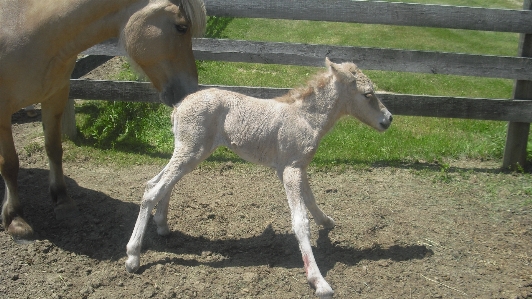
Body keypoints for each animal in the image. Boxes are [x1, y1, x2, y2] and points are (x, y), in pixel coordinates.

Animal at [0, 0, 207, 243]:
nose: (190, 91)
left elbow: (54, 149)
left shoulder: (56, 96)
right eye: (182, 27)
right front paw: (15, 219)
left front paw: (62, 201)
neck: (23, 24)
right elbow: (10, 164)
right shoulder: (3, 111)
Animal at [124, 58, 390, 299]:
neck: (305, 118)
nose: (388, 119)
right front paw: (319, 281)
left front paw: (327, 222)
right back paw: (133, 256)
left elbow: (310, 198)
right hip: (192, 150)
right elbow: (300, 221)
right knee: (153, 189)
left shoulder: (295, 166)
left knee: (158, 183)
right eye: (368, 94)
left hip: (190, 151)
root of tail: (178, 107)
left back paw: (162, 226)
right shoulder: (290, 169)